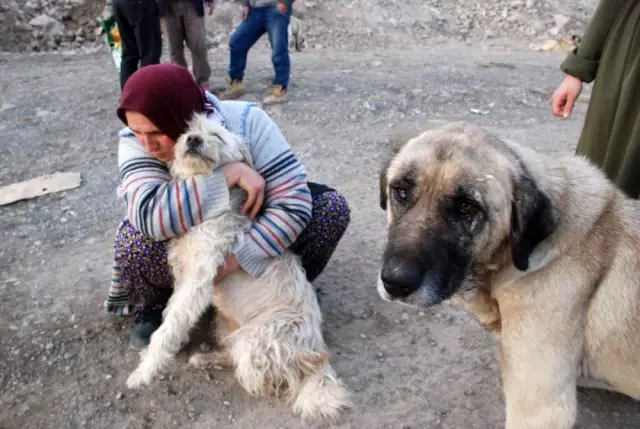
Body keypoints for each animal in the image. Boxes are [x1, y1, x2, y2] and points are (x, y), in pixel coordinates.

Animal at [125, 112, 352, 420]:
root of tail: (316, 350)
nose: (192, 140)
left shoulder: (198, 279)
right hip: (226, 324)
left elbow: (169, 327)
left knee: (271, 378)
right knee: (233, 355)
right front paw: (151, 355)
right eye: (187, 130)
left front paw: (144, 371)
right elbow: (172, 316)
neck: (208, 209)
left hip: (255, 341)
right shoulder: (184, 274)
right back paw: (205, 357)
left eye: (217, 135)